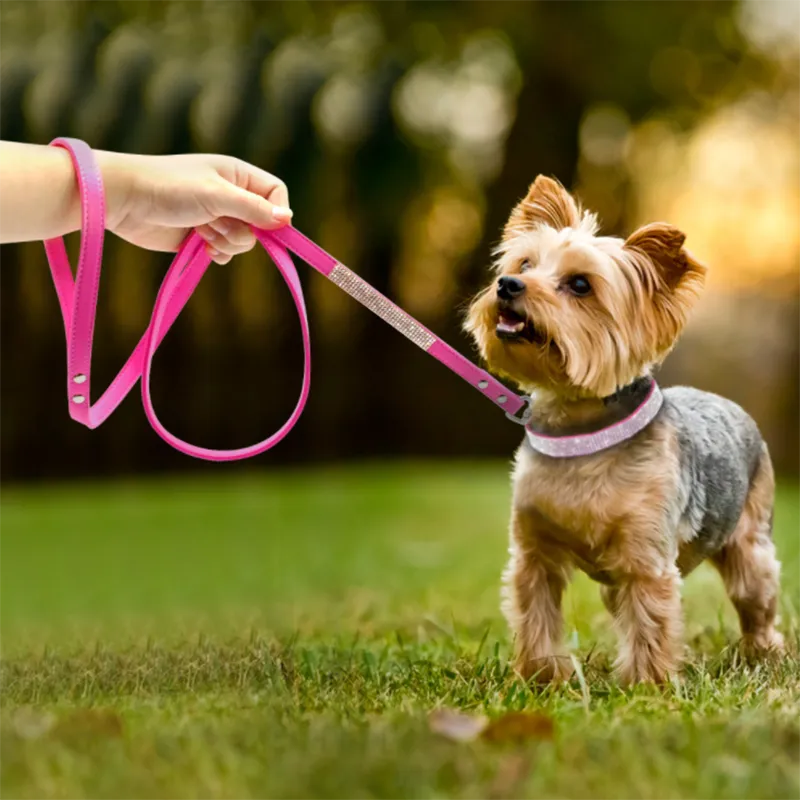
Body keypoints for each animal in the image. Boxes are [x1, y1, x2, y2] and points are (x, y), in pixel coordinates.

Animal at [466, 178, 784, 684]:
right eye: (524, 264)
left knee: (755, 596)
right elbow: (536, 611)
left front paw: (646, 684)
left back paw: (763, 652)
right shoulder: (533, 552)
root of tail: (726, 401)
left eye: (580, 285)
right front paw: (540, 676)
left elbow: (650, 619)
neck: (580, 434)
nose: (507, 284)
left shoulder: (645, 556)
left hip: (750, 544)